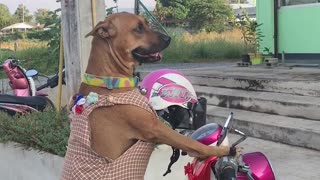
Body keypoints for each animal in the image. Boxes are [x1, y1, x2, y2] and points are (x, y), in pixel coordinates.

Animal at [60, 12, 232, 179]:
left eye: (146, 24)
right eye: (138, 28)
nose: (168, 38)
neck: (110, 82)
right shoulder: (156, 128)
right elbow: (190, 142)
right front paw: (220, 151)